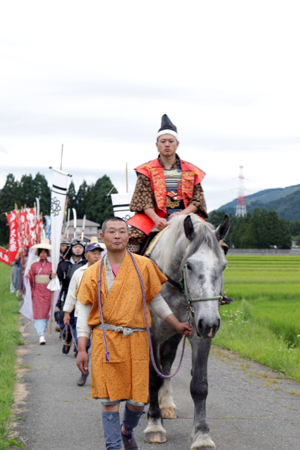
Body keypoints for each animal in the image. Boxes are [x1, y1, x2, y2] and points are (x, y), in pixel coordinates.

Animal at [144, 213, 231, 448]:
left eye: (223, 266)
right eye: (189, 265)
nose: (210, 322)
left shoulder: (200, 334)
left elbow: (199, 385)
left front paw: (201, 435)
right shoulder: (152, 333)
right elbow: (153, 377)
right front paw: (154, 424)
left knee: (167, 359)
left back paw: (166, 404)